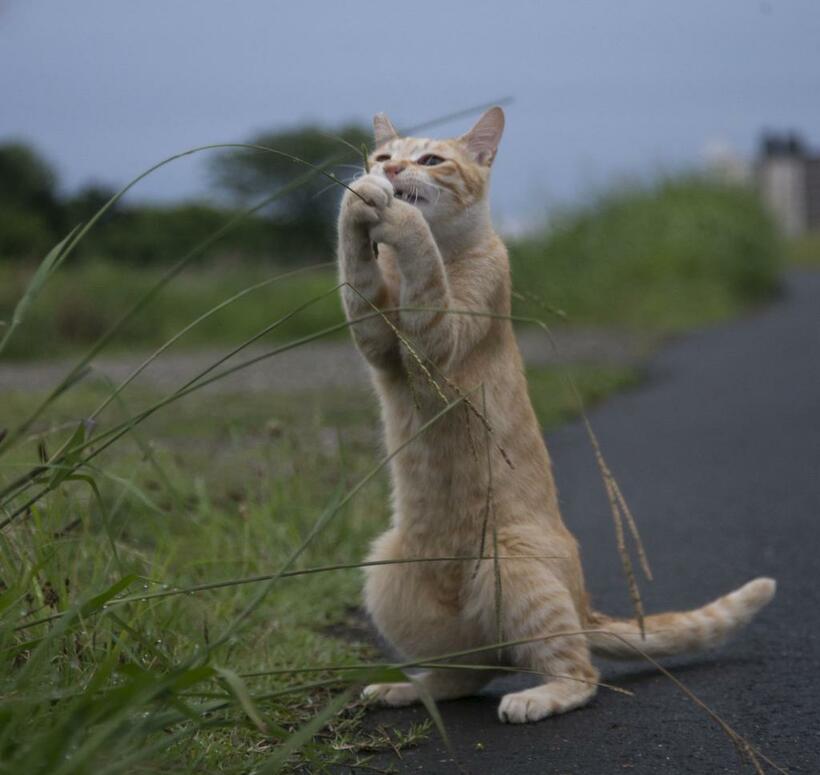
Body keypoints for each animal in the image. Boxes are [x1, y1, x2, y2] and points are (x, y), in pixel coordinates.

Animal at [336, 106, 780, 724]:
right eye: (383, 156)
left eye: (430, 159)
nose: (392, 169)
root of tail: (585, 603)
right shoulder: (377, 339)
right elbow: (355, 274)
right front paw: (358, 200)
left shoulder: (435, 342)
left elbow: (422, 261)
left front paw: (397, 213)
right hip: (387, 571)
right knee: (468, 673)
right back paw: (411, 688)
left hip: (512, 564)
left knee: (577, 671)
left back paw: (537, 696)